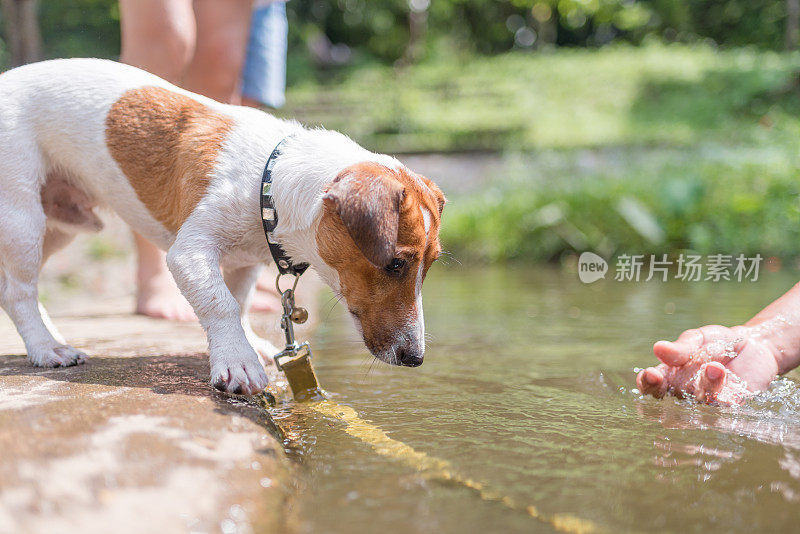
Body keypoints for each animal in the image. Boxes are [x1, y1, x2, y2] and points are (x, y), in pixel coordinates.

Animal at [0, 59, 444, 398]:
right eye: (395, 264)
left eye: (431, 265)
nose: (416, 358)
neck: (268, 182)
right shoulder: (190, 252)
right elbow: (221, 303)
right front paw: (238, 361)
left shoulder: (246, 261)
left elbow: (240, 300)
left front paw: (247, 343)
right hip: (23, 219)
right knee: (19, 291)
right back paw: (46, 348)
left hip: (60, 227)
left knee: (18, 288)